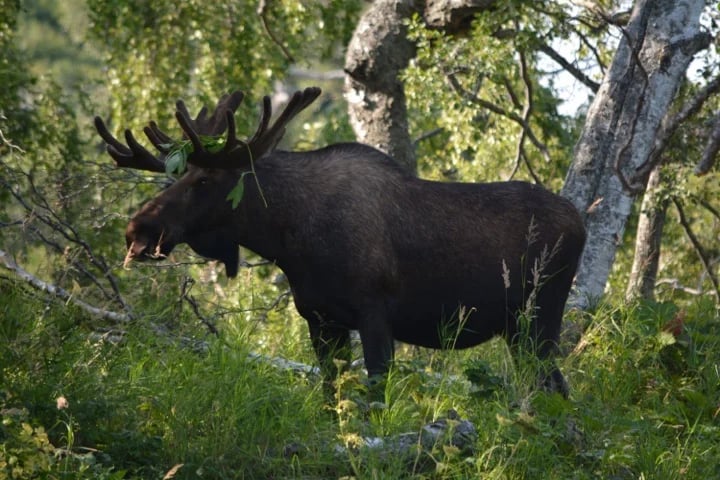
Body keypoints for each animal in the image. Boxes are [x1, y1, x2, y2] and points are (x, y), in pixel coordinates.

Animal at [94, 87, 586, 398]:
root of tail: (581, 223)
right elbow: (333, 399)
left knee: (555, 389)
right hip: (519, 328)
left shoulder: (374, 312)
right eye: (176, 176)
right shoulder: (319, 319)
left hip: (540, 316)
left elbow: (375, 397)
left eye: (203, 180)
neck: (287, 238)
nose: (137, 230)